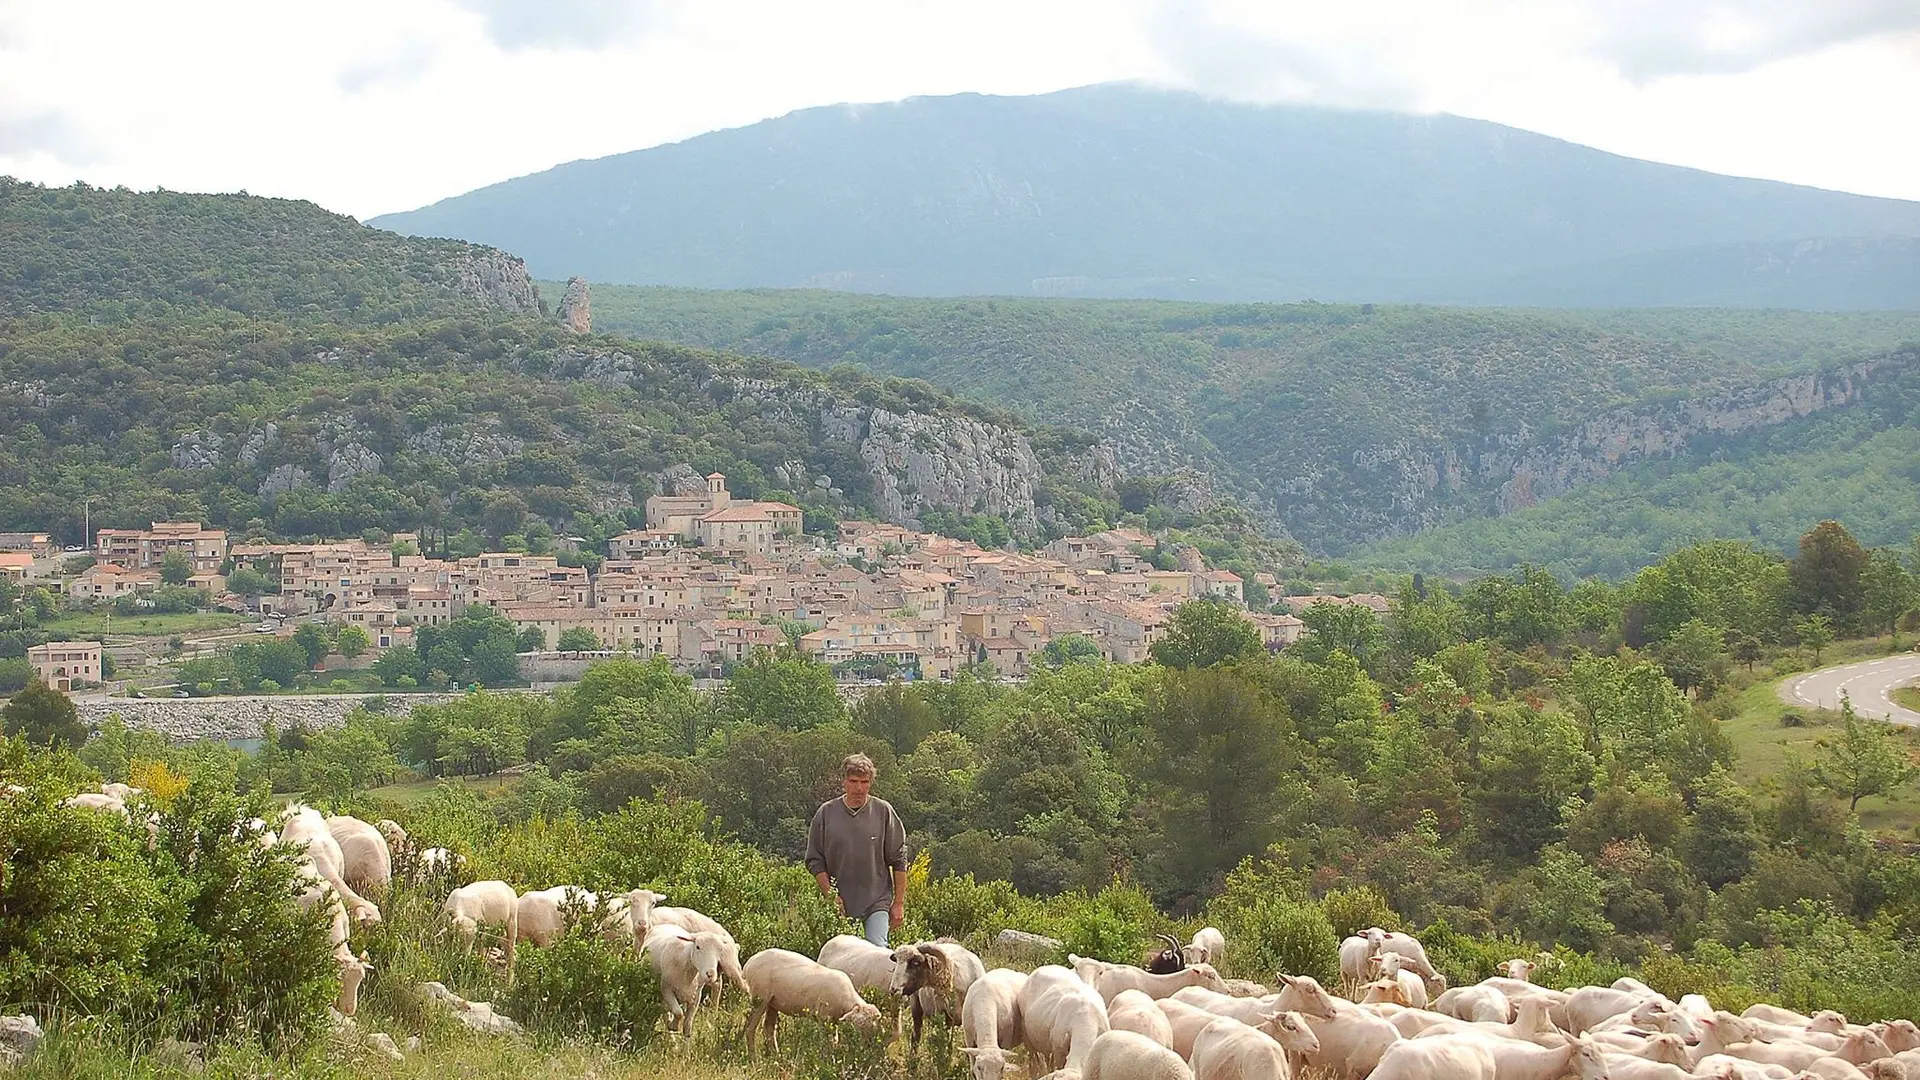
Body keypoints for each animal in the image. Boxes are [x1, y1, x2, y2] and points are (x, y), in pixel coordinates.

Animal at [741, 941, 883, 1053]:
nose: (864, 1047)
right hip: (760, 998)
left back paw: (775, 1055)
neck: (845, 998)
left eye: (873, 1027)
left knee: (769, 1029)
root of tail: (749, 962)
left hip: (772, 1002)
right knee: (750, 1028)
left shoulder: (833, 1021)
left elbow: (835, 1041)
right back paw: (753, 1058)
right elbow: (829, 1042)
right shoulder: (824, 1018)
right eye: (857, 1024)